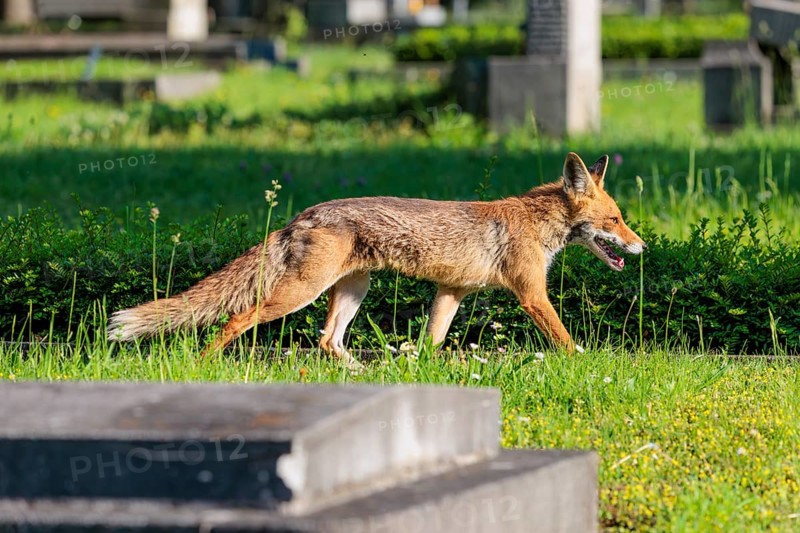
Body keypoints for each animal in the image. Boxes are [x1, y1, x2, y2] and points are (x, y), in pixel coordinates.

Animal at [108, 152, 646, 365]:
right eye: (616, 220)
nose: (643, 247)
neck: (536, 221)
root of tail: (304, 213)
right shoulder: (532, 295)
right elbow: (566, 340)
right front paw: (588, 363)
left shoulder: (452, 290)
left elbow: (432, 341)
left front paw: (421, 369)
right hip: (298, 294)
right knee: (236, 319)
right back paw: (203, 364)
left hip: (353, 289)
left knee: (327, 340)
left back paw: (364, 373)